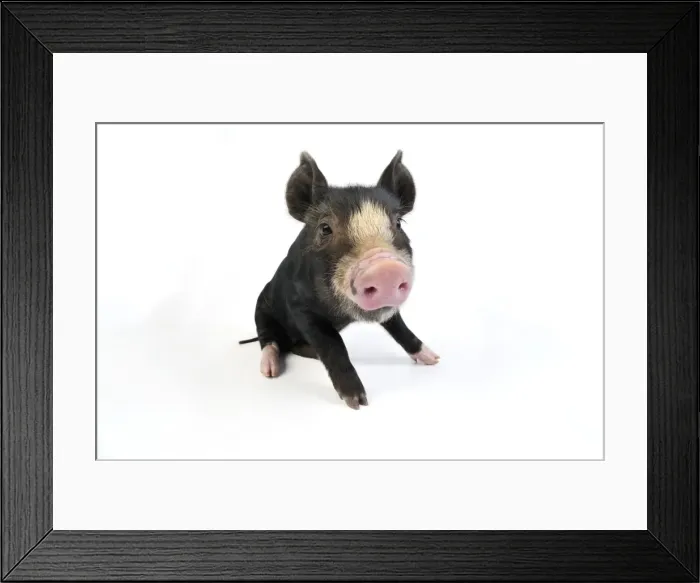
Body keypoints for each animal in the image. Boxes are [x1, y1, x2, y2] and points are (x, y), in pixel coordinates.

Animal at [239, 150, 439, 409]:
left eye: (398, 223)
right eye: (325, 228)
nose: (386, 268)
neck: (341, 315)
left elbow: (401, 329)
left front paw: (434, 359)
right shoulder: (300, 307)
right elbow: (333, 346)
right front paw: (357, 403)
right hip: (261, 308)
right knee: (268, 339)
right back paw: (270, 371)